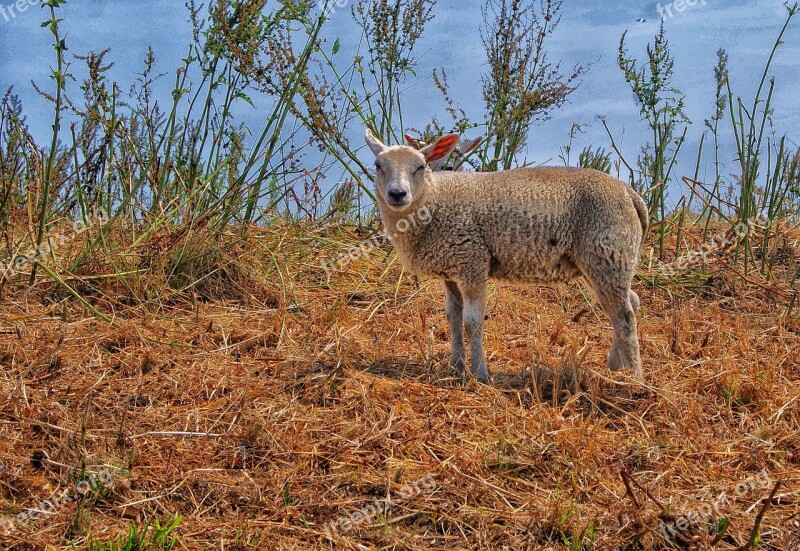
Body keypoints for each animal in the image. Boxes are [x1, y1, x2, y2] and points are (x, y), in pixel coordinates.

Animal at [366, 128, 648, 384]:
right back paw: (616, 368)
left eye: (420, 166)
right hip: (601, 260)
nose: (397, 194)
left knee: (624, 316)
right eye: (378, 165)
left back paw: (635, 380)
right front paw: (456, 369)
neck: (435, 200)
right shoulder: (451, 269)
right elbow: (453, 318)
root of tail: (630, 194)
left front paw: (479, 374)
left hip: (608, 252)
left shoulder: (472, 262)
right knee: (629, 303)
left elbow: (472, 322)